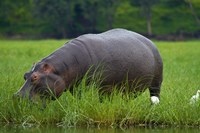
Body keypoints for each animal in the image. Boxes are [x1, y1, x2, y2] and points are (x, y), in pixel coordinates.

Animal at [14, 28, 164, 105]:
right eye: (25, 75)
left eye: (35, 77)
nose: (16, 97)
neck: (61, 69)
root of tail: (149, 41)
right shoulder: (76, 87)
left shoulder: (101, 86)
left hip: (156, 82)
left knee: (155, 94)